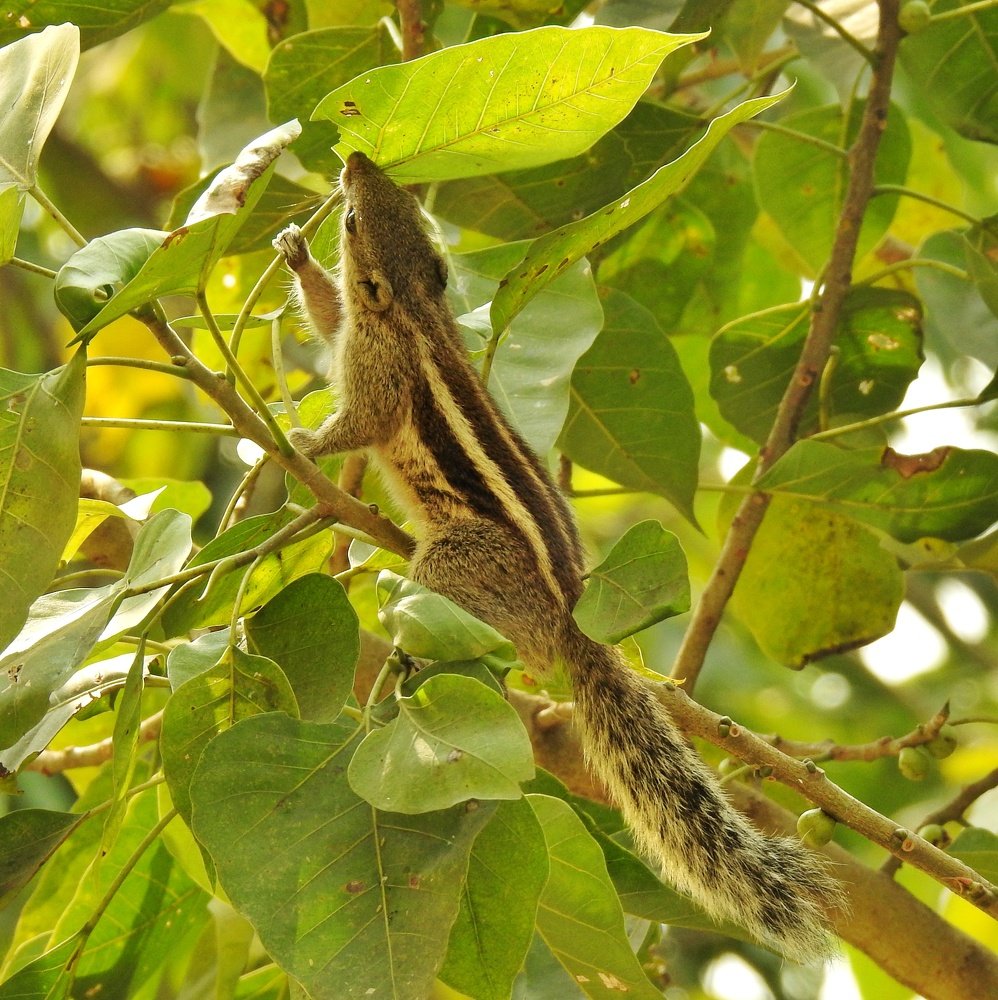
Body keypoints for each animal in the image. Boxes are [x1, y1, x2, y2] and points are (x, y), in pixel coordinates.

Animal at [273, 151, 843, 962]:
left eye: (354, 222)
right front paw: (294, 251)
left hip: (460, 560)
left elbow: (358, 421)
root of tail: (574, 610)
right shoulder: (357, 327)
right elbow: (325, 314)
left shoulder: (376, 365)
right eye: (397, 198)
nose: (355, 160)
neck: (412, 306)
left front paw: (302, 441)